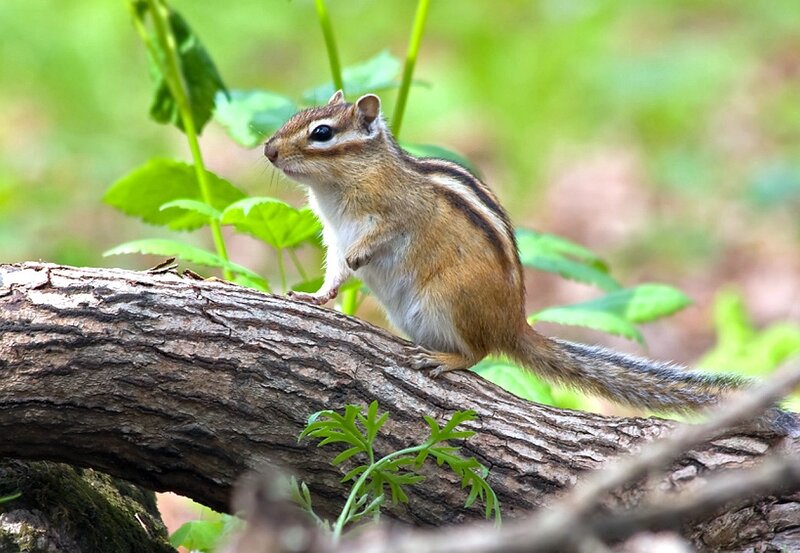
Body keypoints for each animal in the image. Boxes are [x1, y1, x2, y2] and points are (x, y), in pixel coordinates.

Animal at [263, 90, 796, 429]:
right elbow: (333, 270)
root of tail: (514, 324)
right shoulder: (332, 233)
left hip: (448, 299)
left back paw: (445, 358)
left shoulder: (397, 212)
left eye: (322, 133)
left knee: (478, 352)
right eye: (296, 117)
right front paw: (316, 296)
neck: (337, 189)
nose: (268, 150)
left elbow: (383, 236)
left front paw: (360, 259)